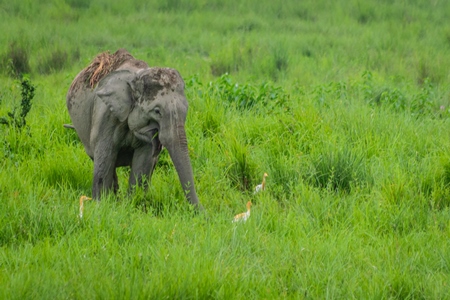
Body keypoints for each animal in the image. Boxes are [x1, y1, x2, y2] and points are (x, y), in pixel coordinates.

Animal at [66, 48, 201, 209]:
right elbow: (105, 156)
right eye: (157, 111)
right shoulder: (106, 114)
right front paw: (102, 204)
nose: (203, 213)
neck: (136, 78)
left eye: (186, 110)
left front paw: (132, 204)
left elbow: (143, 161)